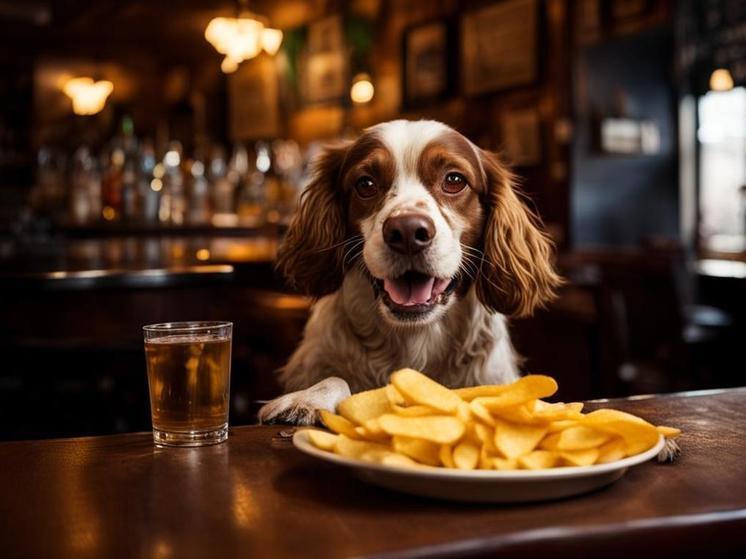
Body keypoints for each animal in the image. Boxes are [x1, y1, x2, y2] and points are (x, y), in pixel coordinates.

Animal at [256, 119, 560, 424]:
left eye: (454, 180)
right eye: (365, 184)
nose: (407, 232)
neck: (415, 340)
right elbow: (335, 379)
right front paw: (309, 398)